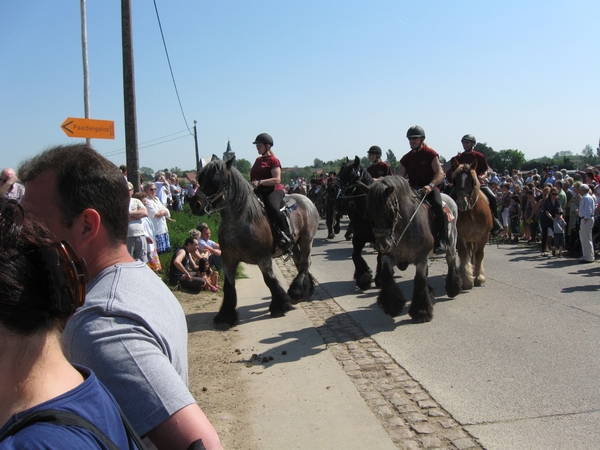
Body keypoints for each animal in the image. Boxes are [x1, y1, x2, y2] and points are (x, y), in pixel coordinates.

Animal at [190, 158, 322, 326]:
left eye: (216, 181)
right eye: (200, 179)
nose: (195, 204)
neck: (241, 221)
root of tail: (306, 200)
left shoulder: (263, 258)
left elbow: (270, 280)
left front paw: (279, 306)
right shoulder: (228, 260)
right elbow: (229, 286)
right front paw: (226, 315)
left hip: (306, 240)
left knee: (305, 263)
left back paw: (296, 292)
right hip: (295, 245)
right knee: (300, 264)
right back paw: (304, 291)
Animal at [336, 156, 382, 290]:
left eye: (350, 172)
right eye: (340, 169)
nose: (333, 187)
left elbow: (380, 258)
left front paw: (379, 280)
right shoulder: (358, 238)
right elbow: (355, 256)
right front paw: (364, 278)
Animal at [358, 176, 462, 324]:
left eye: (389, 212)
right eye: (369, 214)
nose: (382, 244)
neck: (405, 225)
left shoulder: (421, 258)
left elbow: (419, 281)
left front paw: (421, 311)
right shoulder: (389, 256)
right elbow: (386, 275)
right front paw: (393, 305)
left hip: (451, 243)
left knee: (451, 262)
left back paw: (453, 288)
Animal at [452, 160, 494, 290]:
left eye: (472, 180)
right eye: (455, 179)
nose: (462, 202)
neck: (471, 212)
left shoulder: (483, 236)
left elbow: (479, 255)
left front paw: (479, 277)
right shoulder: (460, 236)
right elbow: (463, 254)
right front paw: (467, 279)